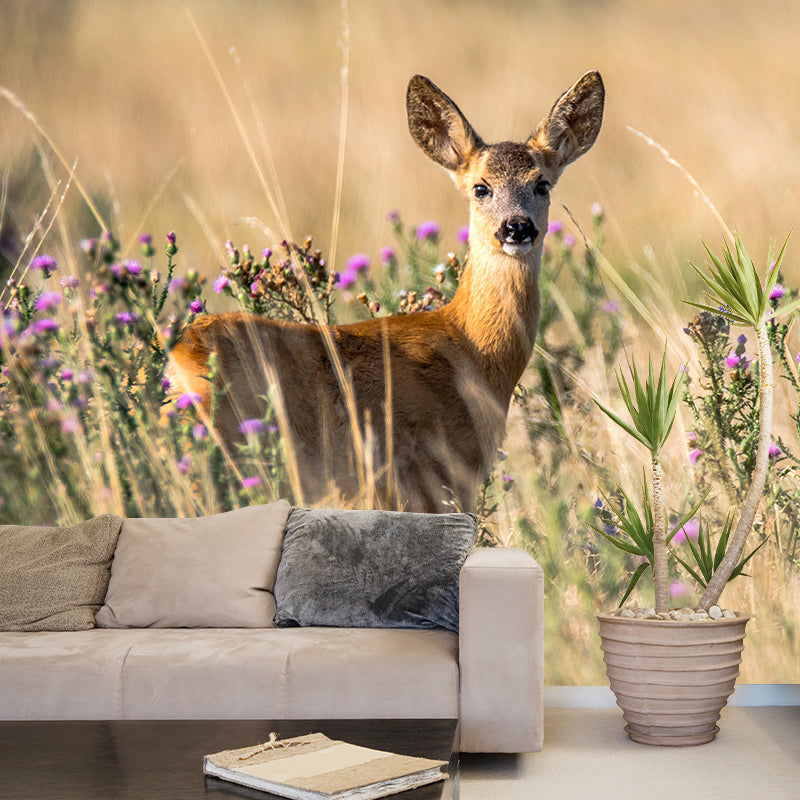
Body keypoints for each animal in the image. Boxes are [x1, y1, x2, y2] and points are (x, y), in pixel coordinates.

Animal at [168, 71, 604, 512]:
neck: (471, 349)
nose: (517, 228)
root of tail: (181, 352)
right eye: (481, 188)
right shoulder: (434, 475)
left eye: (542, 184)